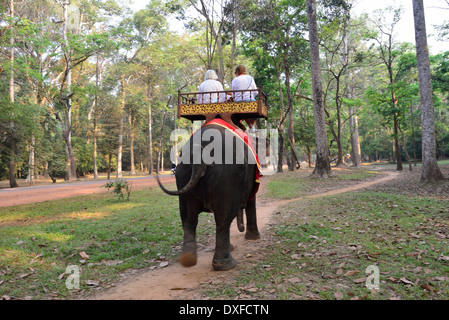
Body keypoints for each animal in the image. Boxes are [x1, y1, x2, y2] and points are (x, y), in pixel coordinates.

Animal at [157, 119, 260, 272]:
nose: (241, 227)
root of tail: (199, 151)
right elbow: (251, 198)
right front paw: (254, 238)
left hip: (183, 174)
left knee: (188, 218)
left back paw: (188, 260)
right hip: (227, 176)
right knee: (223, 219)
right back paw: (226, 265)